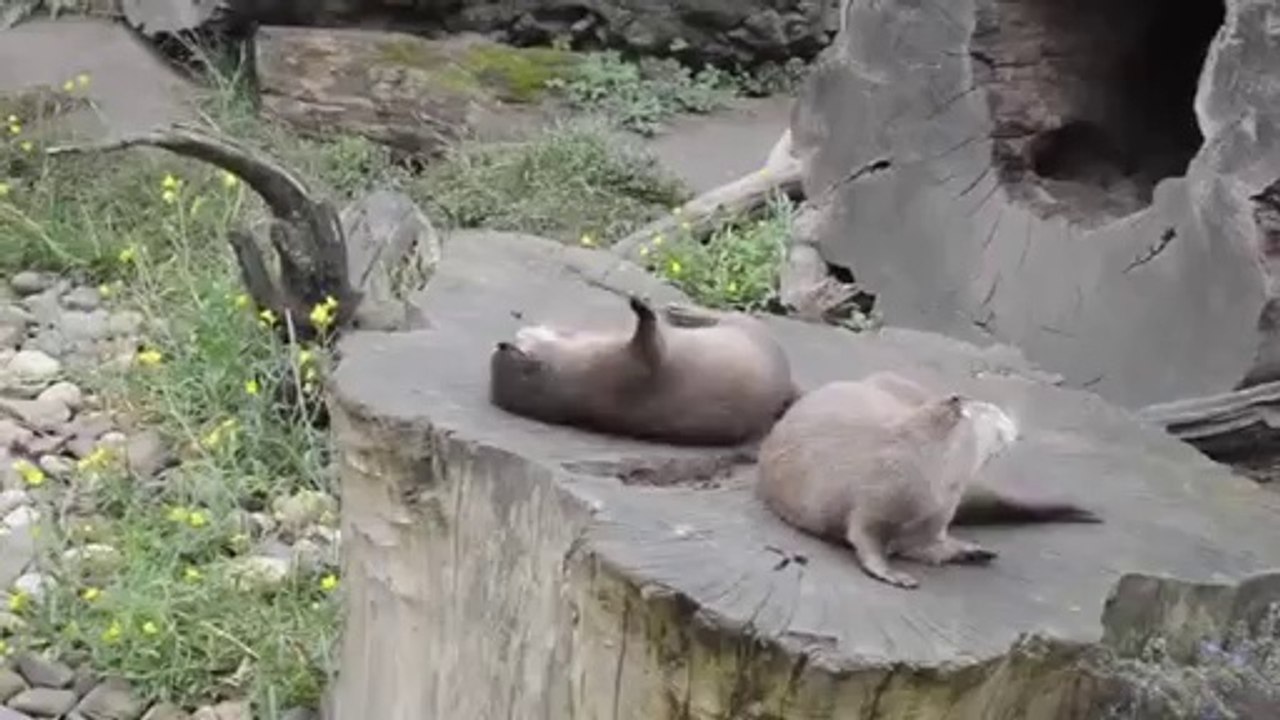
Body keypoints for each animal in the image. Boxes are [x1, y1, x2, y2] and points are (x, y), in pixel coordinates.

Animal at [489, 295, 798, 446]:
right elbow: (651, 344)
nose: (521, 330)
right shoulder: (632, 365)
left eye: (522, 336)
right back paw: (682, 311)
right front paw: (641, 308)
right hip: (748, 327)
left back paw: (680, 311)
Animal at [757, 371, 1100, 589]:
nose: (1013, 424)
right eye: (993, 412)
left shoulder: (932, 521)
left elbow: (931, 546)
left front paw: (970, 550)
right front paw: (893, 574)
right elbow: (865, 538)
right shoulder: (873, 502)